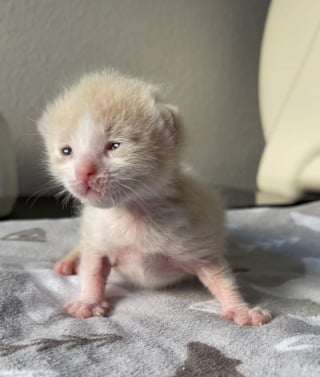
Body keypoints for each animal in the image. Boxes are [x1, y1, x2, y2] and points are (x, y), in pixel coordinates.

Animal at [38, 70, 272, 324]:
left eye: (115, 146)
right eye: (67, 151)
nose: (83, 172)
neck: (133, 212)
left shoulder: (198, 237)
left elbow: (219, 276)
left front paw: (240, 309)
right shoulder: (97, 233)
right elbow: (92, 267)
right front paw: (89, 301)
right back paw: (69, 261)